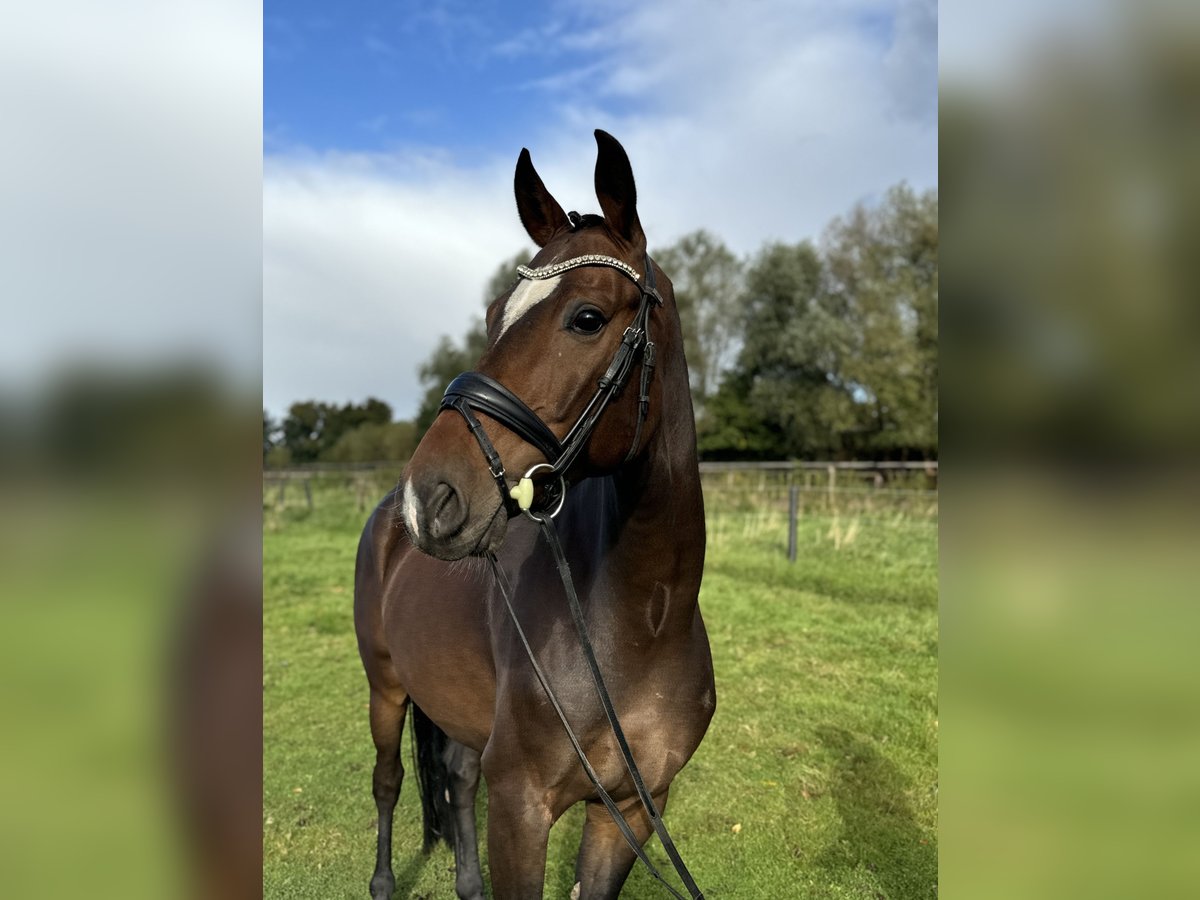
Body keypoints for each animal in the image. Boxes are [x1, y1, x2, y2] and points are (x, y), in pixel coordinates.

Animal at [352, 130, 710, 897]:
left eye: (587, 318)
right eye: (493, 317)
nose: (430, 496)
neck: (642, 623)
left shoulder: (630, 810)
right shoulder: (520, 808)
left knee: (456, 780)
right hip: (385, 689)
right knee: (389, 782)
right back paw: (385, 881)